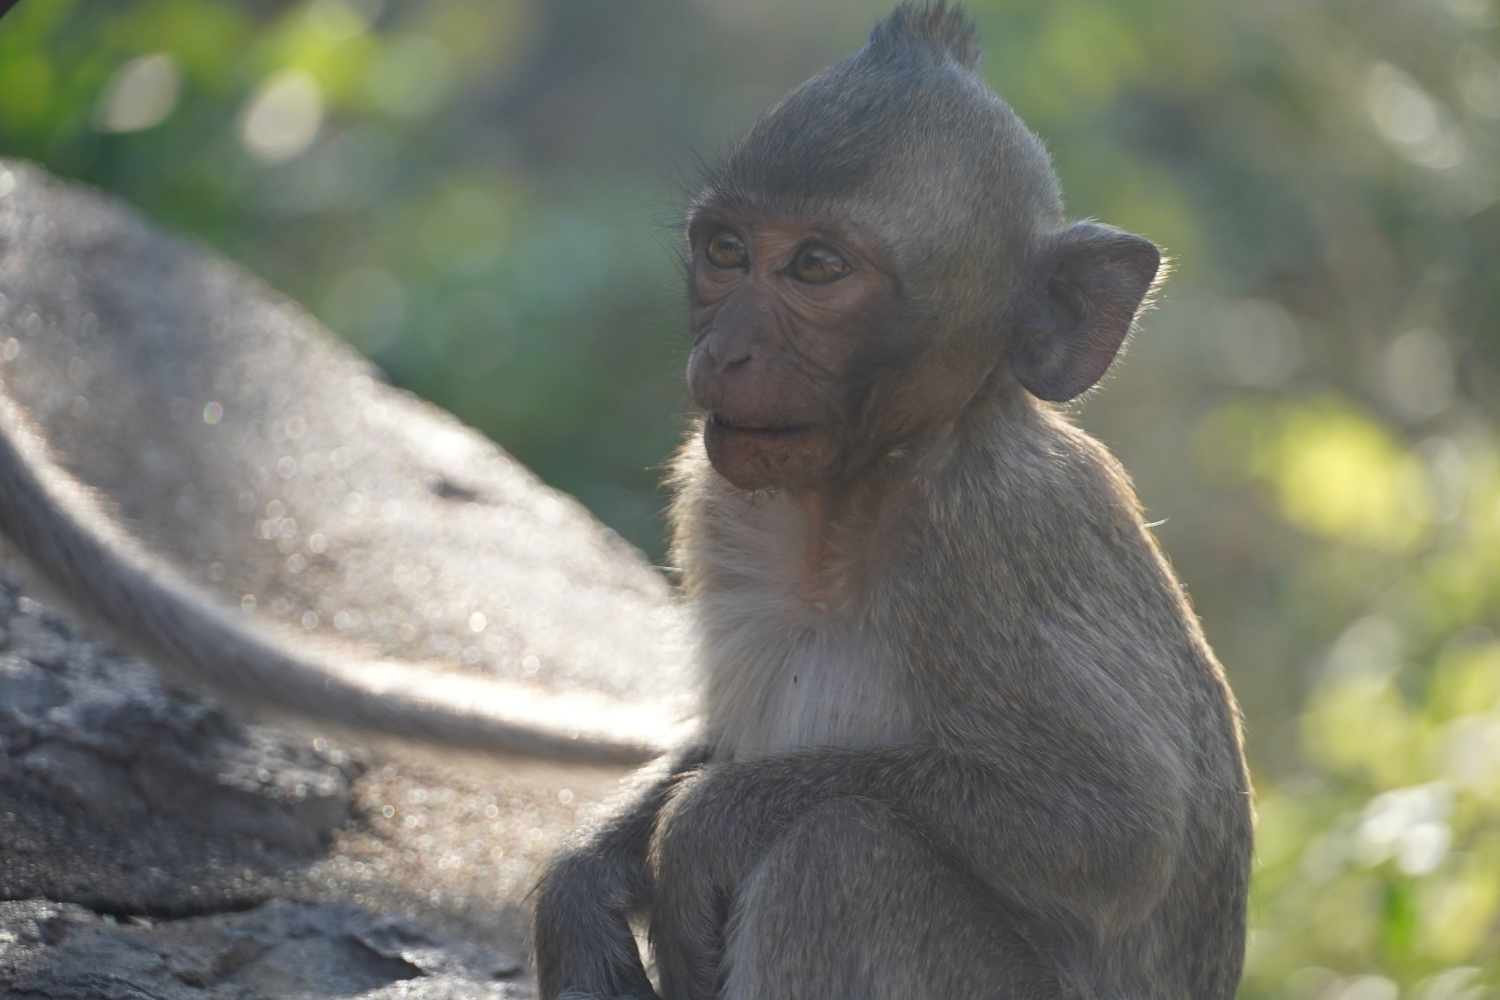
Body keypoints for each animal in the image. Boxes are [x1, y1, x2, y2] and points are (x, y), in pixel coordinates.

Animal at [530, 4, 1252, 999]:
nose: (725, 350)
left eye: (817, 267)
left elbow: (1115, 827)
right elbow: (716, 735)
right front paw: (581, 883)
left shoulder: (996, 530)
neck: (851, 501)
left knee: (842, 852)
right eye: (726, 252)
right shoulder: (719, 499)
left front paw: (708, 825)